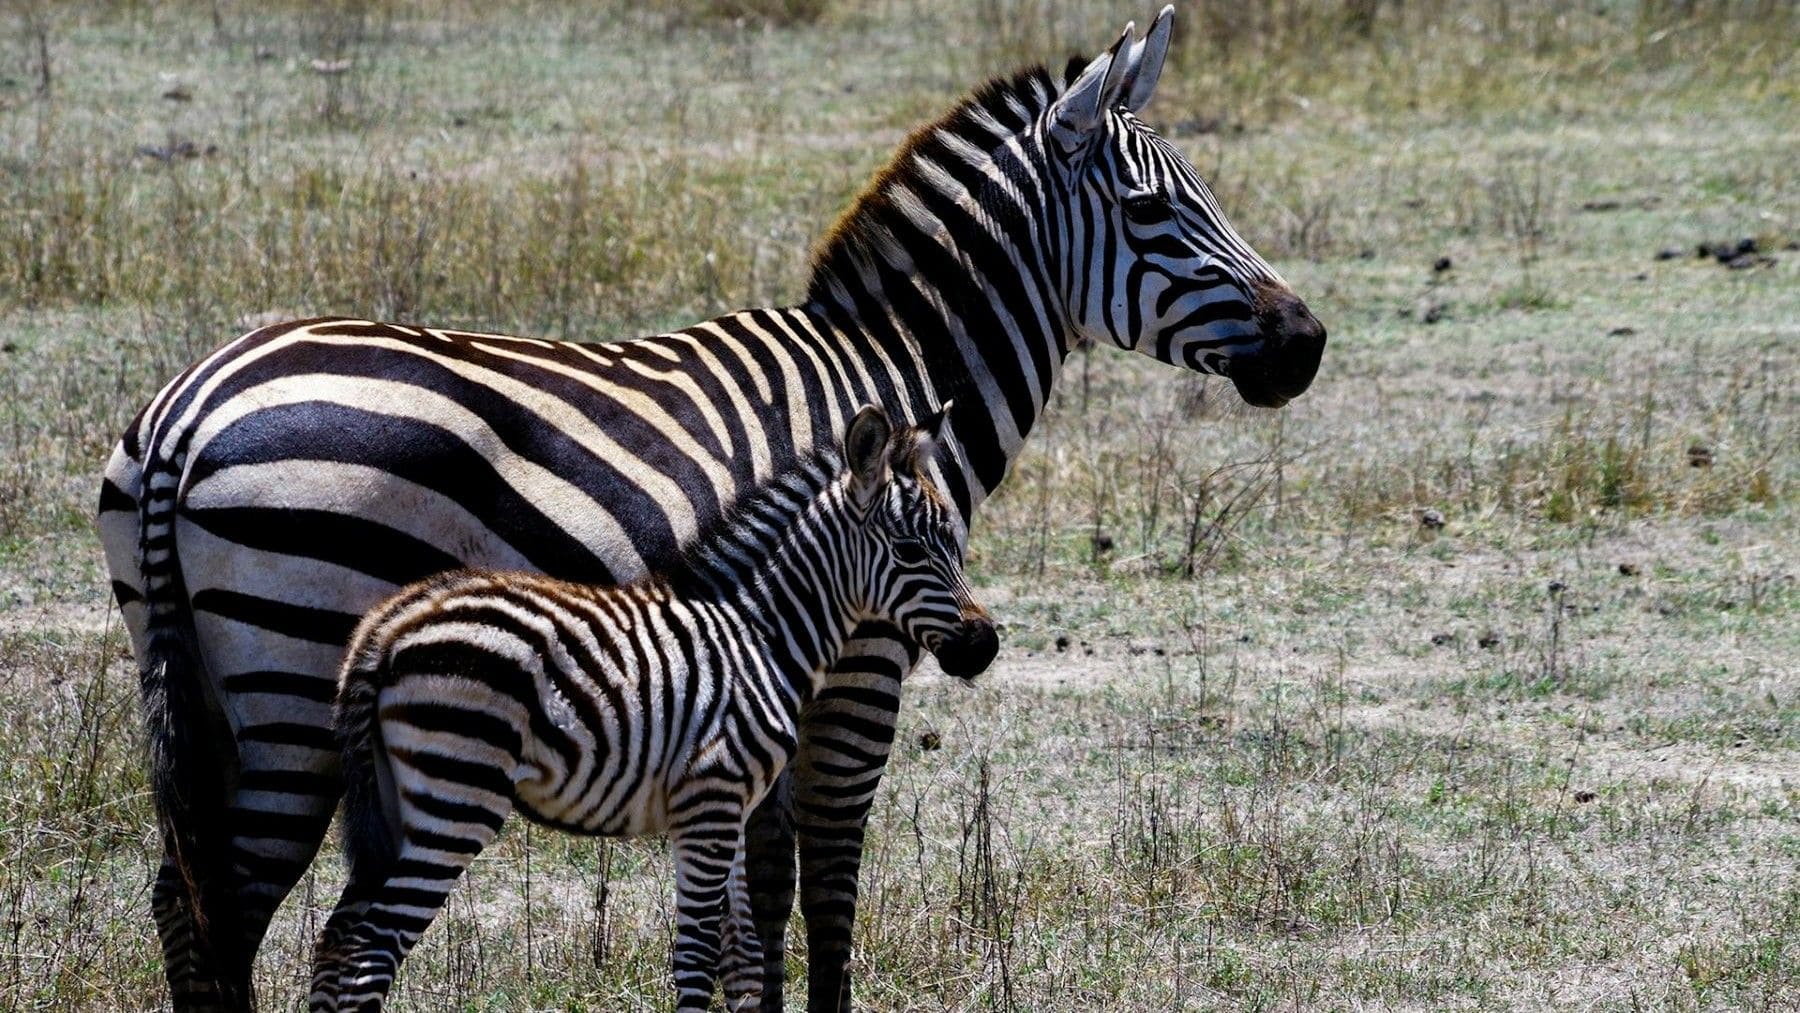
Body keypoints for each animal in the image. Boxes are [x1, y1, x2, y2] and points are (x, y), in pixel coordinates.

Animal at [307, 406, 994, 1011]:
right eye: (911, 552)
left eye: (952, 544)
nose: (984, 645)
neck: (761, 632)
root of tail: (387, 627)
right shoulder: (713, 800)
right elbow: (695, 957)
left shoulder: (722, 810)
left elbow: (738, 954)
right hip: (458, 795)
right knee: (371, 953)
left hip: (399, 798)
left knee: (338, 940)